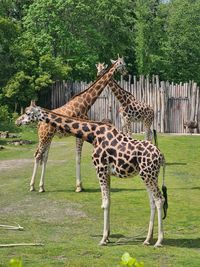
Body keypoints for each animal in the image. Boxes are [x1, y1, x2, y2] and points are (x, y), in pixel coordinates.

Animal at [16, 101, 168, 248]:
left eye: (28, 113)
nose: (17, 121)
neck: (92, 135)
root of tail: (161, 157)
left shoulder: (100, 168)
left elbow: (105, 203)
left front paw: (103, 239)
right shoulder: (107, 172)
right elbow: (109, 201)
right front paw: (107, 237)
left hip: (148, 174)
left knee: (159, 199)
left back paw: (159, 241)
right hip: (147, 175)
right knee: (152, 201)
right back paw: (147, 239)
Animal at [23, 57, 125, 194]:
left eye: (102, 67)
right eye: (123, 64)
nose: (126, 72)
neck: (85, 103)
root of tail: (39, 123)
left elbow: (77, 157)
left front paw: (80, 185)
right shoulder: (80, 135)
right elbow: (78, 158)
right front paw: (78, 187)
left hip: (48, 137)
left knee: (44, 157)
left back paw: (41, 186)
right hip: (44, 136)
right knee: (37, 155)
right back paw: (32, 186)